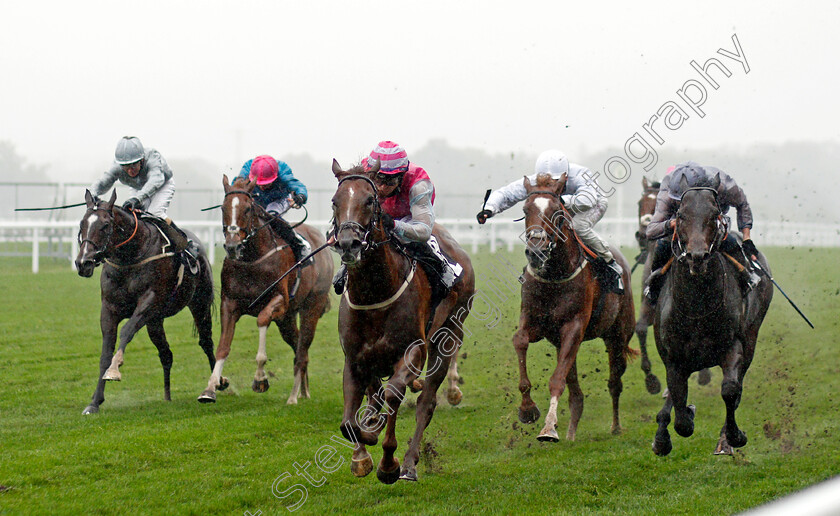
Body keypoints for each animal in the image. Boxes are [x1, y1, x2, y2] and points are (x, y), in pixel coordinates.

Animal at [74, 189, 217, 416]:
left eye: (105, 225)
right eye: (82, 224)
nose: (83, 263)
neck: (130, 257)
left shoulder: (149, 301)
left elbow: (126, 331)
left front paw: (114, 369)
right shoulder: (110, 309)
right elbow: (105, 352)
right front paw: (94, 402)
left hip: (199, 303)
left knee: (207, 342)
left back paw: (215, 388)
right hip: (155, 321)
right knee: (166, 354)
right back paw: (167, 396)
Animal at [199, 175, 334, 406]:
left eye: (247, 209)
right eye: (224, 208)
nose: (232, 246)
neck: (253, 260)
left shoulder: (279, 300)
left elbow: (262, 320)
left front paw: (260, 379)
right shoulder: (230, 304)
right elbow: (223, 347)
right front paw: (210, 388)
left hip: (312, 307)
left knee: (302, 350)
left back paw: (293, 396)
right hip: (286, 319)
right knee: (298, 346)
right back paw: (303, 391)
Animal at [332, 161, 476, 484]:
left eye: (369, 200)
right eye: (335, 202)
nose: (348, 244)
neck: (375, 293)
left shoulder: (412, 350)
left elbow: (394, 394)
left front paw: (388, 463)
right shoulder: (354, 358)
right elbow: (349, 421)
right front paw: (361, 454)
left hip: (449, 335)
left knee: (425, 403)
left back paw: (409, 464)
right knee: (377, 395)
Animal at [512, 173, 636, 444]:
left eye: (557, 211)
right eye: (525, 210)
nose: (536, 251)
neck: (555, 274)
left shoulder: (574, 327)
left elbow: (557, 380)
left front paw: (548, 428)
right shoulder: (536, 323)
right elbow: (520, 340)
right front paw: (527, 409)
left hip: (618, 335)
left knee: (615, 382)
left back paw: (615, 426)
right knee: (576, 393)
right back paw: (570, 432)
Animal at [648, 176, 776, 456]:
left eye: (714, 214)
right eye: (681, 215)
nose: (697, 257)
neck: (697, 306)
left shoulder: (733, 345)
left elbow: (730, 390)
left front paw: (734, 436)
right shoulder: (674, 357)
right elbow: (681, 415)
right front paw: (667, 433)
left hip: (752, 335)